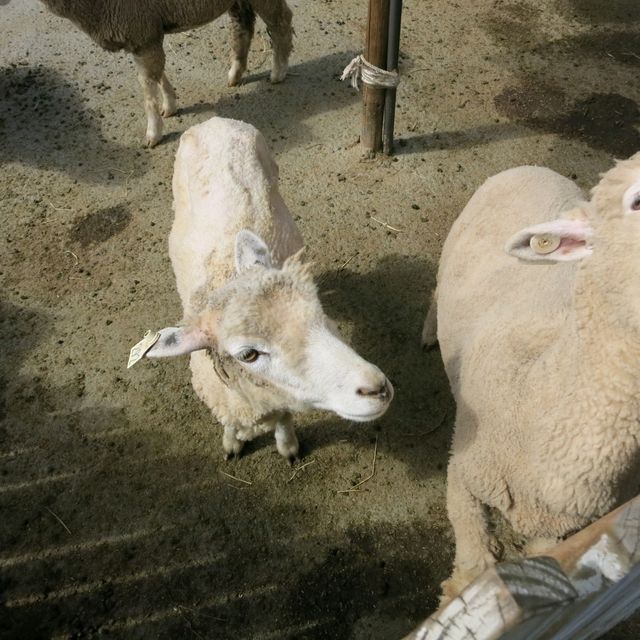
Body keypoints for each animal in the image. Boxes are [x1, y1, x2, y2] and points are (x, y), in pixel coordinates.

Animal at [42, 0, 296, 146]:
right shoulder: (144, 35)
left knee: (281, 20)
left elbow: (147, 86)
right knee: (242, 25)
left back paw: (278, 71)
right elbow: (156, 74)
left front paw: (153, 133)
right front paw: (170, 105)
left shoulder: (141, 31)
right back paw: (236, 73)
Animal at [139, 117, 396, 460]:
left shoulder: (279, 402)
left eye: (318, 312)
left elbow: (284, 420)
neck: (226, 275)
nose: (375, 388)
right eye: (248, 354)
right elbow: (231, 425)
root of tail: (216, 120)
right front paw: (232, 442)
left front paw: (287, 446)